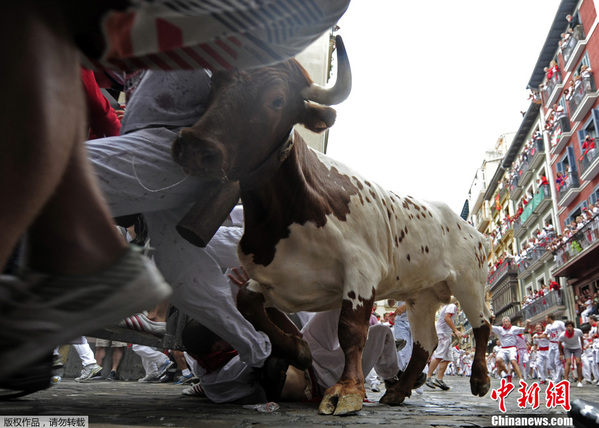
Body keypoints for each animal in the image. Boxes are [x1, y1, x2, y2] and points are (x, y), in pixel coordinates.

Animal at [170, 35, 492, 416]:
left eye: (277, 100)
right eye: (215, 84)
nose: (194, 146)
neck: (282, 221)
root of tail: (466, 226)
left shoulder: (361, 273)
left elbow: (351, 331)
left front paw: (346, 390)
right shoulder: (277, 278)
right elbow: (247, 304)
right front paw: (297, 349)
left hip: (469, 281)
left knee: (483, 325)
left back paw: (479, 380)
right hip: (422, 295)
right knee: (424, 344)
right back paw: (398, 391)